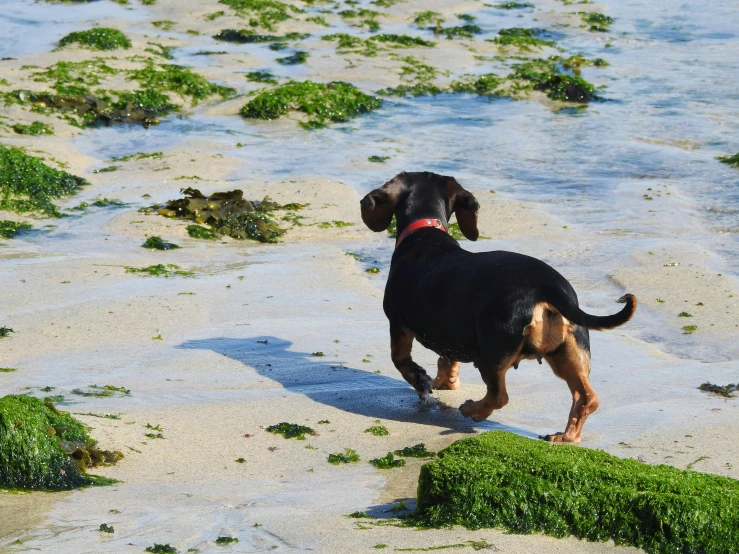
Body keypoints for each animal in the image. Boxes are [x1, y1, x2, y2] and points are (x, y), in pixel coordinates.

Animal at [360, 170, 636, 442]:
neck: (425, 233)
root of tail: (547, 286)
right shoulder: (451, 333)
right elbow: (446, 361)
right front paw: (444, 382)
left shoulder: (398, 323)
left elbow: (400, 359)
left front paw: (421, 380)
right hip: (569, 352)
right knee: (587, 398)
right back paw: (565, 437)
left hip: (492, 354)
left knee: (499, 396)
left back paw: (472, 410)